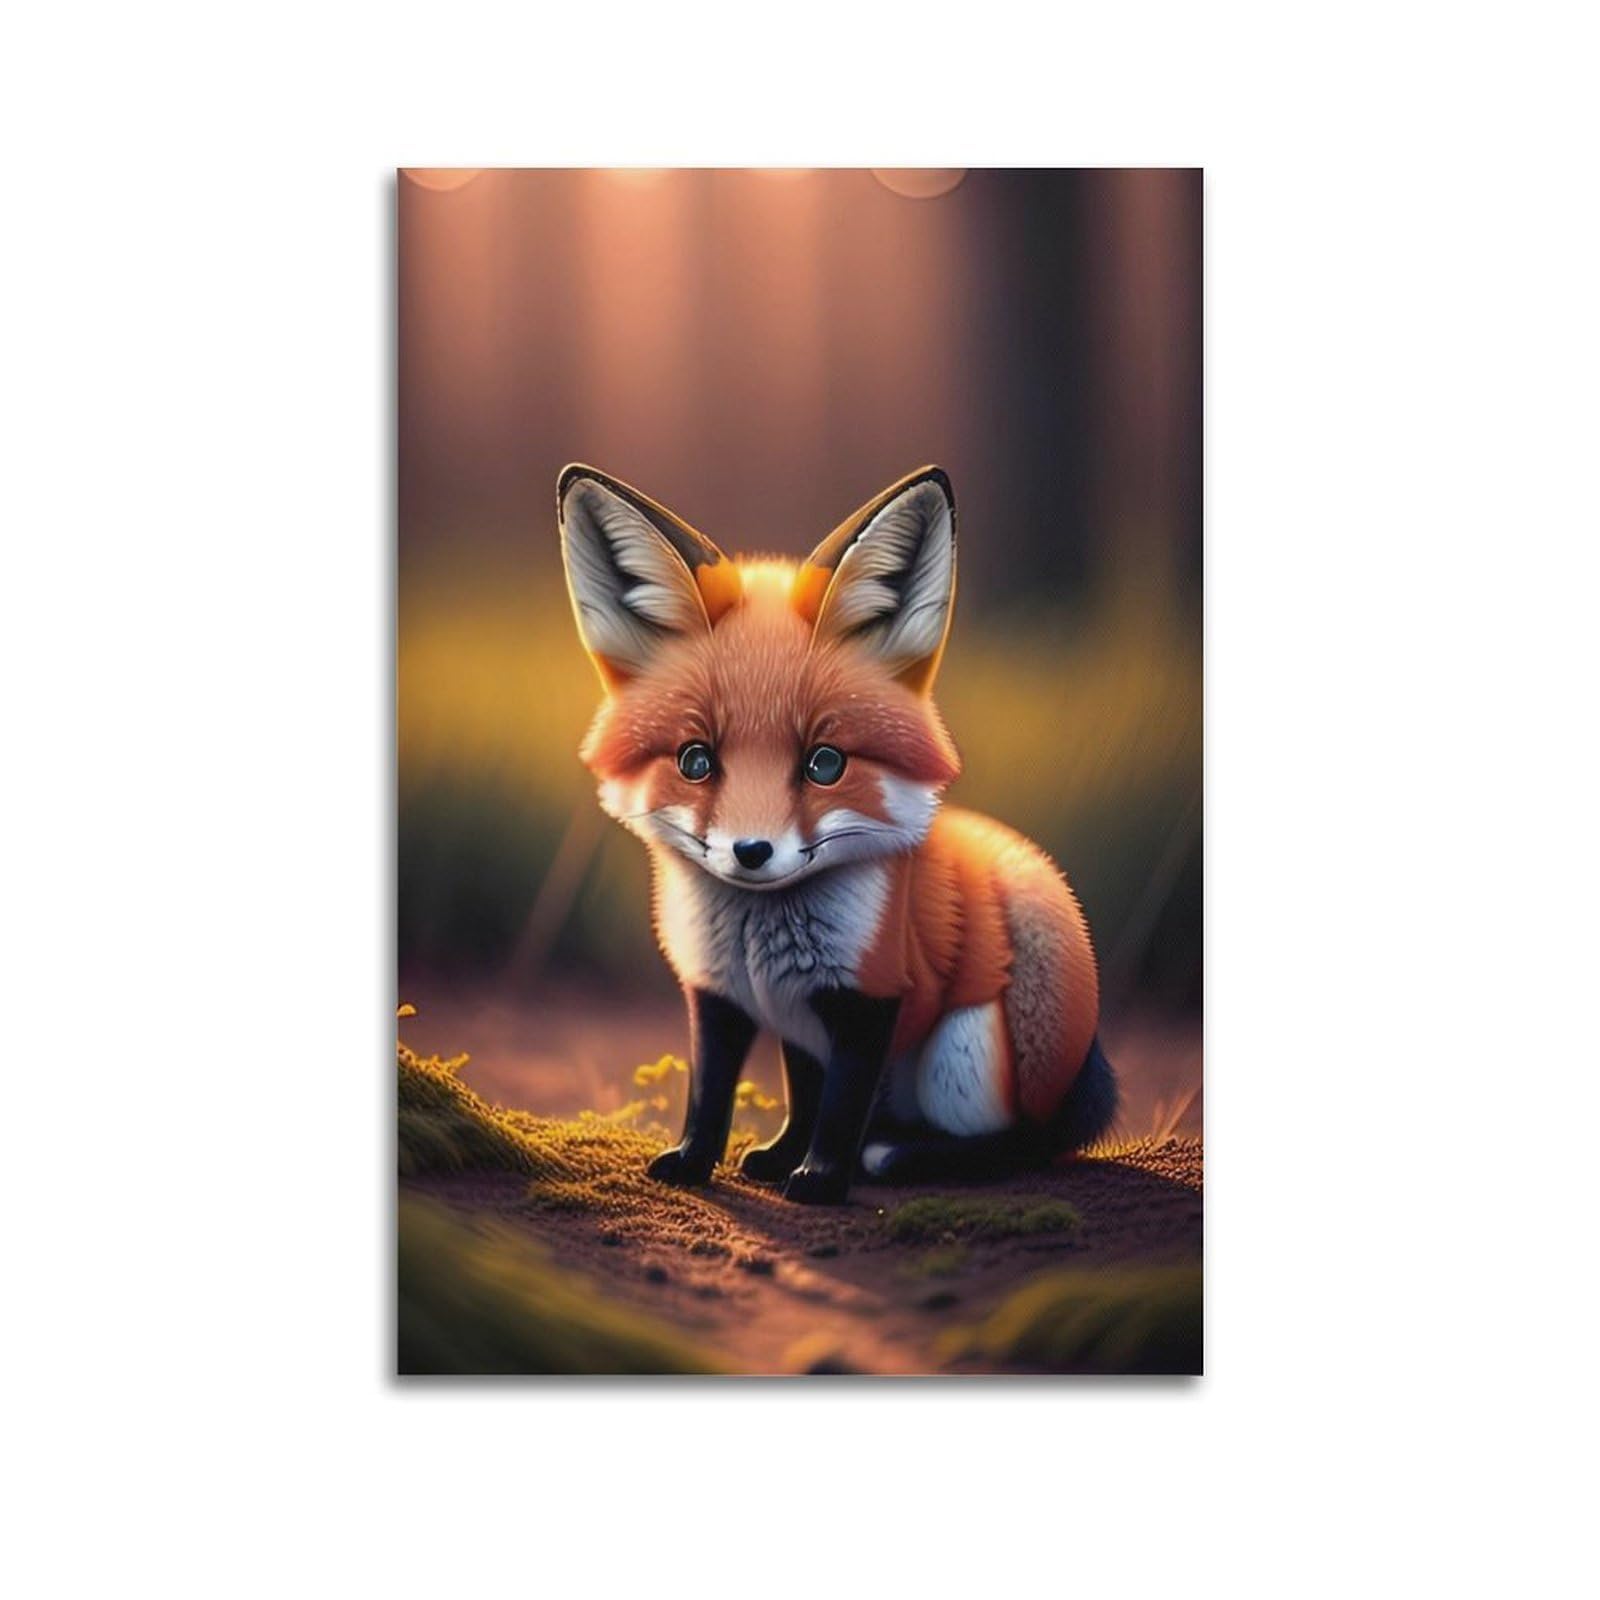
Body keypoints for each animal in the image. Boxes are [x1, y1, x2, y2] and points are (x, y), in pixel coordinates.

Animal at [557, 462, 1118, 1205]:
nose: (752, 851)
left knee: (1023, 1143)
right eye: (694, 761)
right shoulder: (732, 998)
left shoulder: (869, 1000)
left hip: (966, 1049)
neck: (758, 945)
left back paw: (911, 1156)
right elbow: (725, 1095)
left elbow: (841, 1105)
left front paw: (821, 1177)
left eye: (825, 764)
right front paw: (710, 1161)